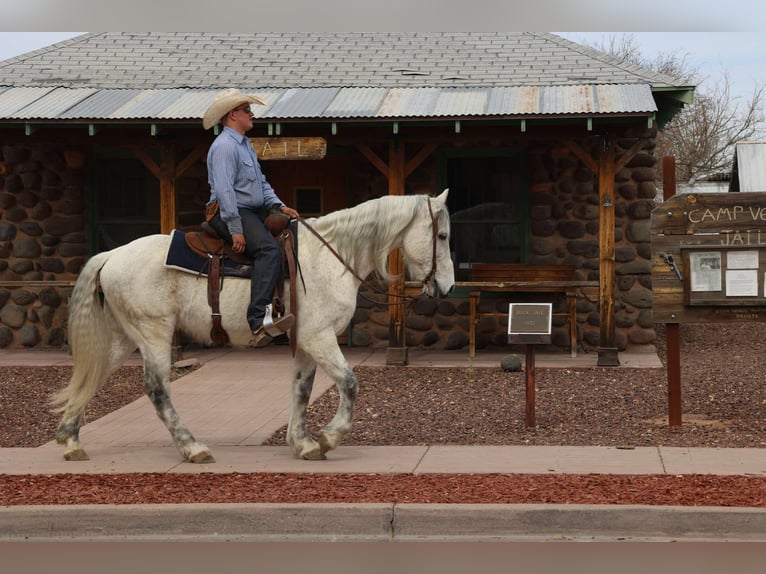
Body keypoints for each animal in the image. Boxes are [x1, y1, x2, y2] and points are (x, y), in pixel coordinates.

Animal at [51, 190, 455, 463]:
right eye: (442, 236)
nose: (448, 287)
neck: (329, 255)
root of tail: (111, 256)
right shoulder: (320, 337)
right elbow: (350, 383)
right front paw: (329, 437)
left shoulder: (305, 341)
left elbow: (302, 389)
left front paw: (303, 442)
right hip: (154, 334)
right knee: (156, 388)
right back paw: (192, 447)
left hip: (123, 338)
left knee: (94, 375)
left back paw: (71, 440)